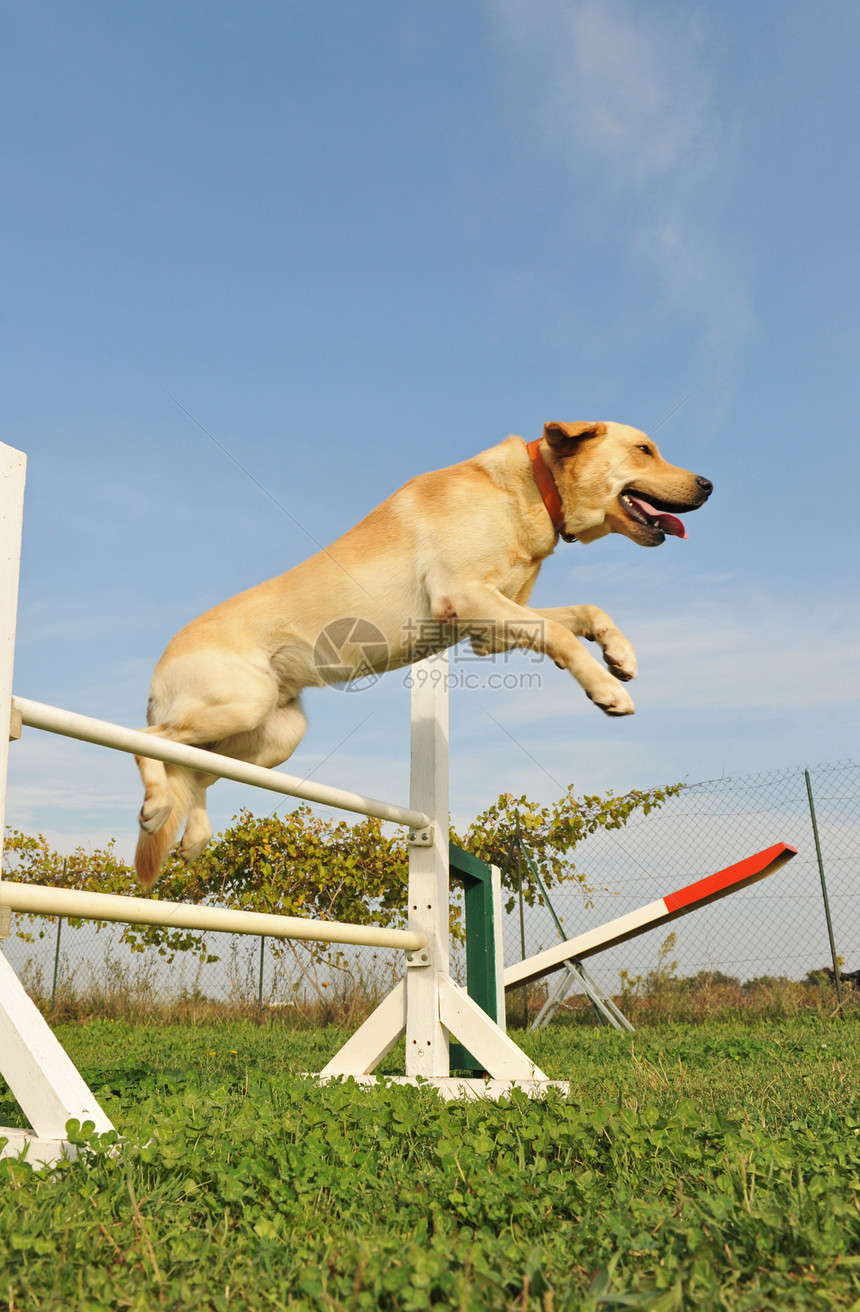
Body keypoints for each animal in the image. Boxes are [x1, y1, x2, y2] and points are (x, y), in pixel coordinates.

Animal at [136, 425, 714, 886]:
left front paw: (620, 654)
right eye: (644, 449)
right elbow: (560, 632)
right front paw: (606, 690)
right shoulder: (465, 596)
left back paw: (193, 836)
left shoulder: (491, 628)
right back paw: (156, 804)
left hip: (274, 735)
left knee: (194, 769)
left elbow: (584, 613)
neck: (529, 488)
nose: (709, 485)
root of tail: (157, 670)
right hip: (239, 702)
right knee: (153, 743)